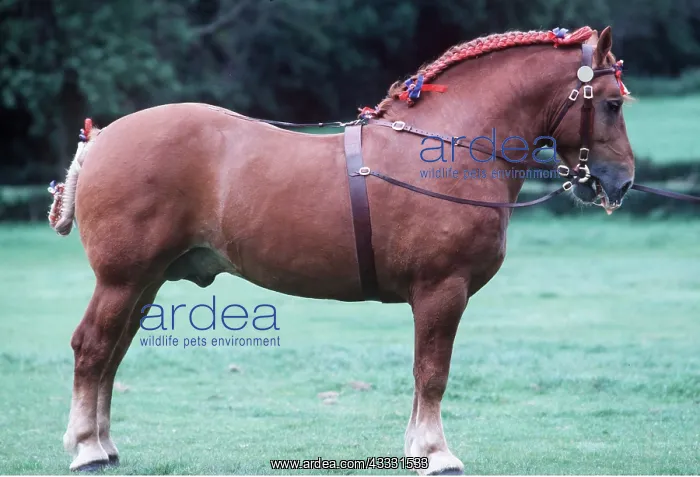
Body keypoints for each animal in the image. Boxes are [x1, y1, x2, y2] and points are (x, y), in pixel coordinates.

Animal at [51, 26, 634, 474]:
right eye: (610, 104)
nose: (622, 181)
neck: (447, 147)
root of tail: (102, 138)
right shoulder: (441, 290)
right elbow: (433, 372)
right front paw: (435, 452)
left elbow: (423, 372)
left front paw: (417, 448)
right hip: (123, 279)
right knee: (93, 348)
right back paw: (87, 449)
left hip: (144, 282)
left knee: (112, 354)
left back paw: (103, 445)